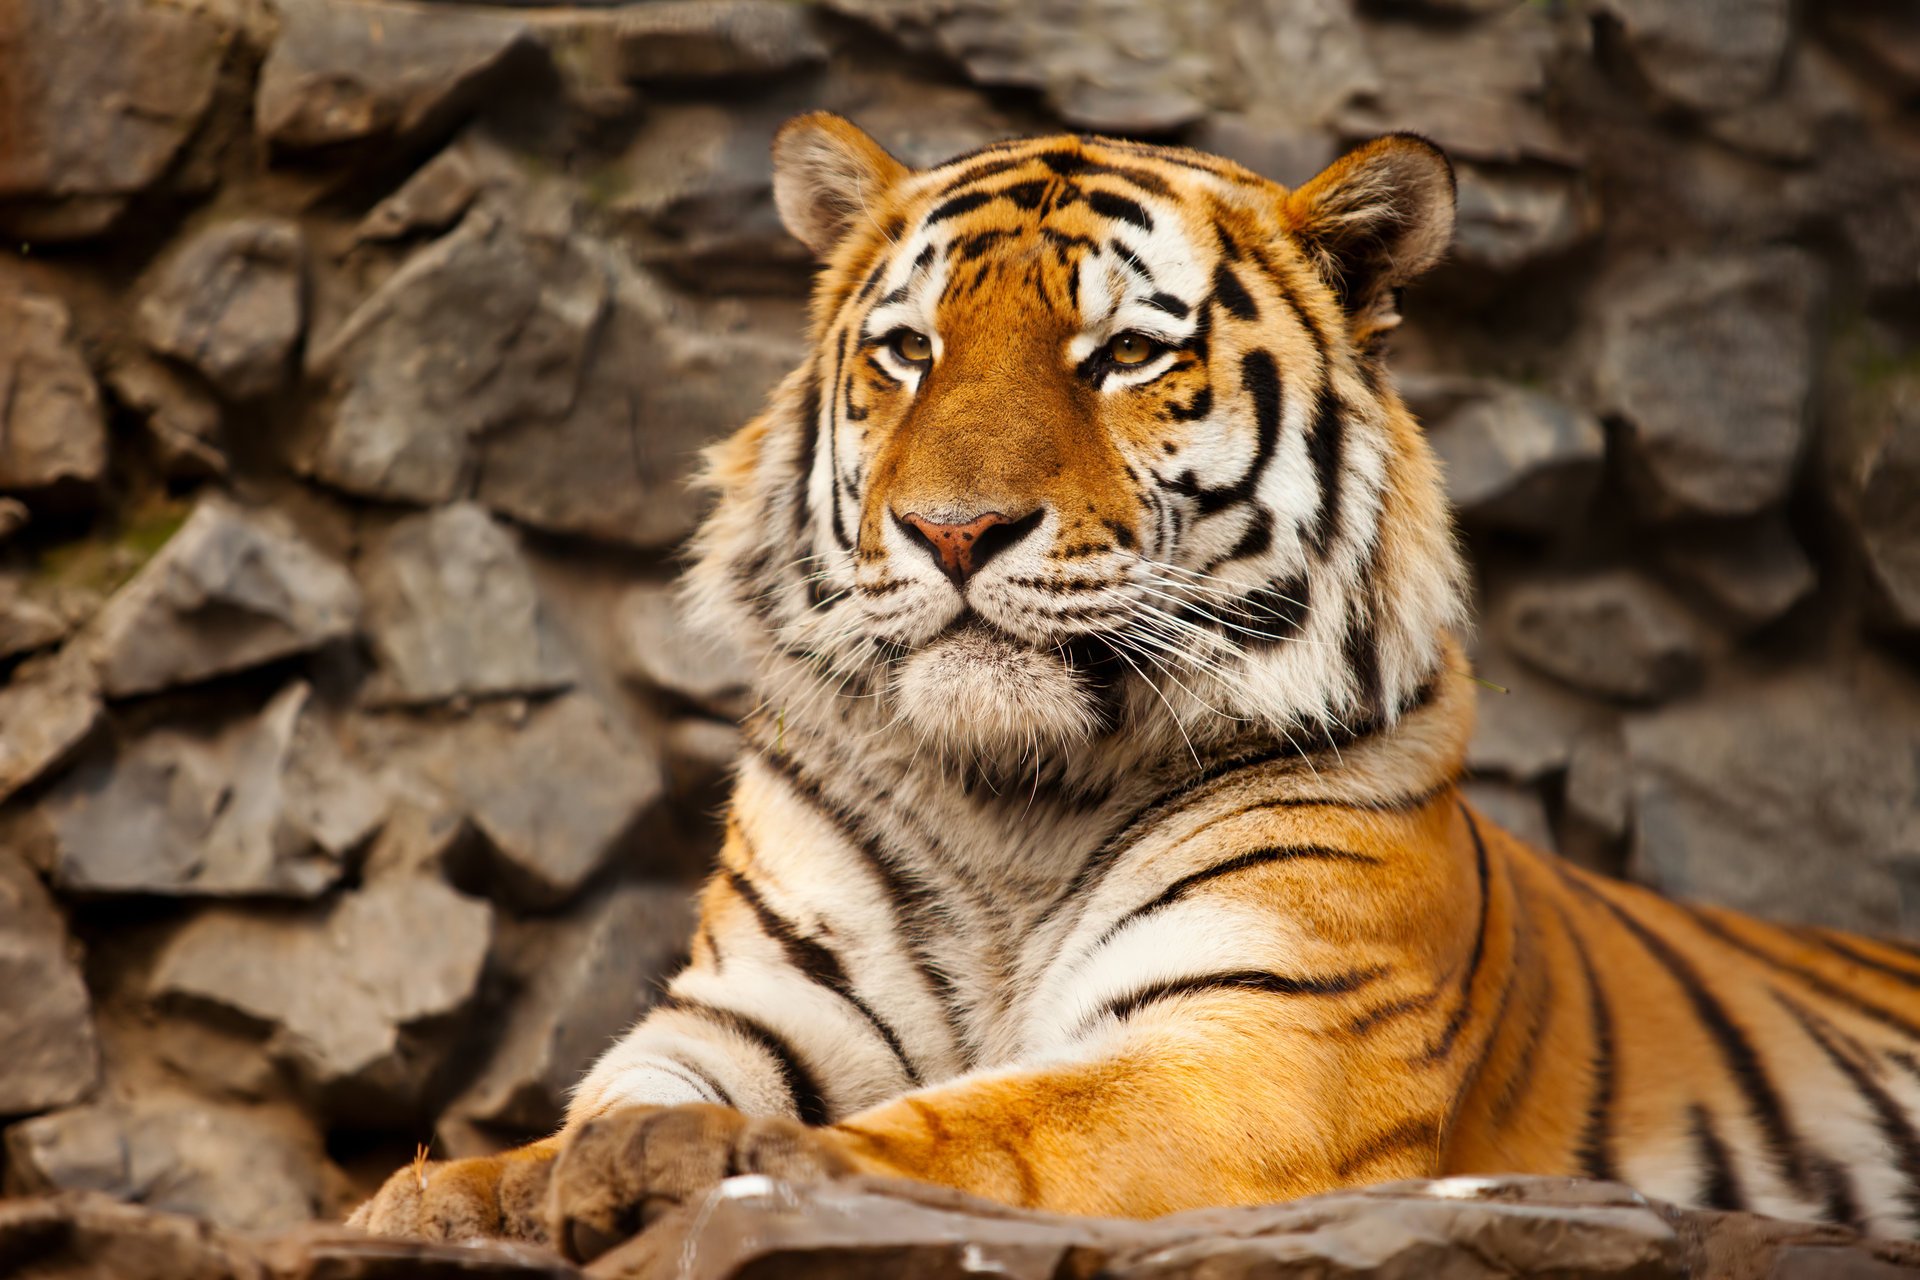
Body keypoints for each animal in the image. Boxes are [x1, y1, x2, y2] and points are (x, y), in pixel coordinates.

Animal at [351, 114, 1920, 1258]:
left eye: (1123, 356)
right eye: (908, 350)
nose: (954, 531)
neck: (1011, 798)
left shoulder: (1263, 1042)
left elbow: (980, 1126)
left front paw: (712, 1164)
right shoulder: (753, 1007)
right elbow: (605, 1099)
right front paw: (453, 1190)